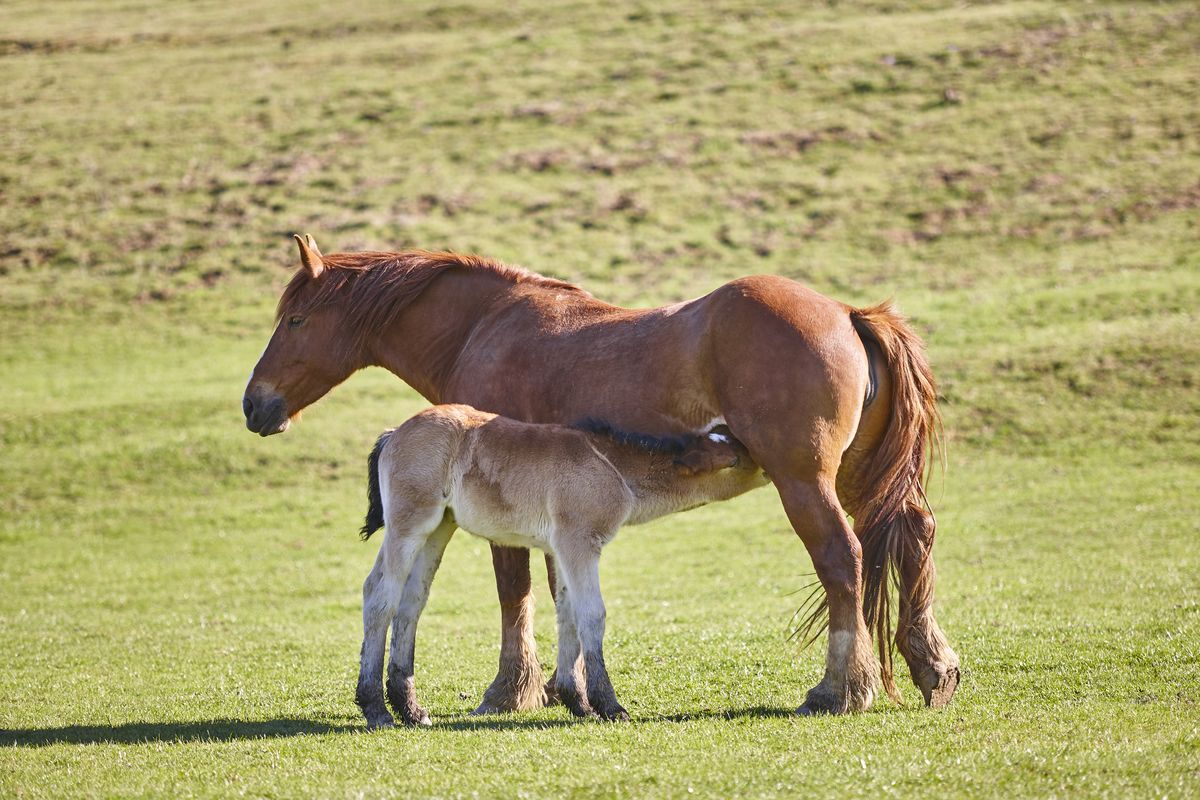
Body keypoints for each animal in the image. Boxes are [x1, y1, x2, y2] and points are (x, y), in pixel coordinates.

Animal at [356, 404, 769, 728]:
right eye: (737, 457)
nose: (769, 463)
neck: (613, 467)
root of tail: (395, 433)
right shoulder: (578, 543)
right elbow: (592, 614)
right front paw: (609, 705)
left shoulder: (564, 549)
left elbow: (567, 613)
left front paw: (578, 703)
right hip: (408, 525)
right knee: (379, 595)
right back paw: (377, 709)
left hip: (439, 528)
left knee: (411, 603)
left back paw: (410, 710)